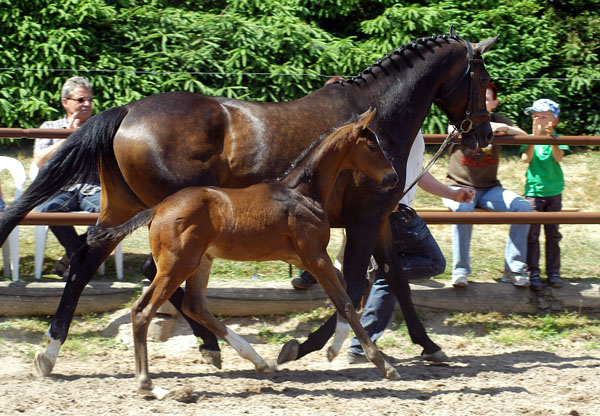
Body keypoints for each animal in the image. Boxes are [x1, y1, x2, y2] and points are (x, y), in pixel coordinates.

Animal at [88, 109, 398, 396]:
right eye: (373, 146)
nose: (393, 177)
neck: (304, 193)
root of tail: (157, 209)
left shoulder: (305, 258)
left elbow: (344, 292)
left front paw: (332, 350)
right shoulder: (315, 256)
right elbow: (345, 300)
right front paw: (383, 365)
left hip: (201, 260)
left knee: (195, 305)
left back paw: (256, 360)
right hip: (177, 264)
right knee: (143, 311)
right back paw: (149, 384)